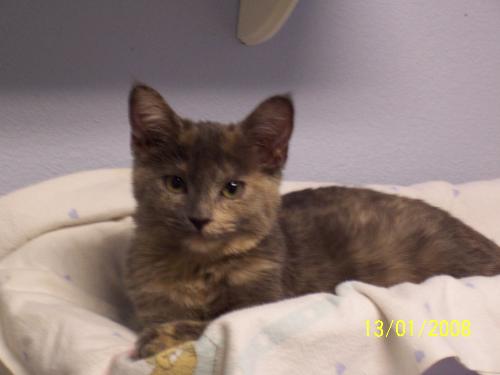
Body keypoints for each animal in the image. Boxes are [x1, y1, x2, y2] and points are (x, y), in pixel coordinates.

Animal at [126, 83, 500, 358]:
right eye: (175, 183)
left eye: (232, 188)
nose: (199, 218)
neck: (198, 268)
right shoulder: (152, 301)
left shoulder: (264, 301)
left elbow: (215, 321)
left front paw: (158, 340)